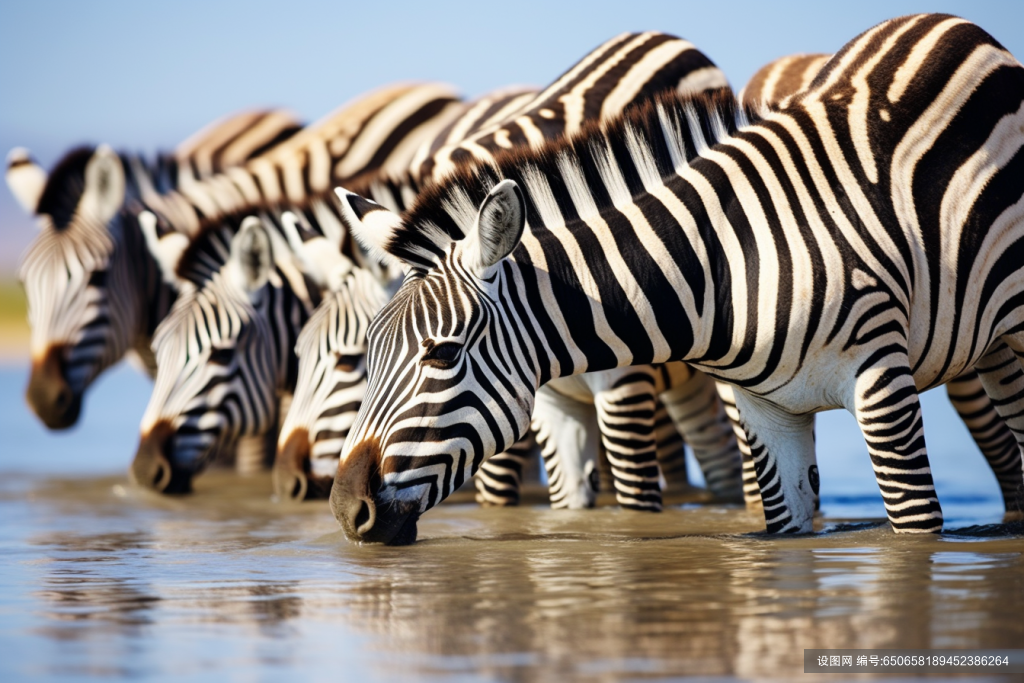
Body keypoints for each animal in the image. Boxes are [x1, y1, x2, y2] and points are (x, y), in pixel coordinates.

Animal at [327, 12, 1024, 544]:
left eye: (442, 355)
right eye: (368, 355)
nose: (343, 508)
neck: (726, 264)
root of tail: (948, 23)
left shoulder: (882, 382)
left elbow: (915, 528)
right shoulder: (767, 412)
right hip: (991, 342)